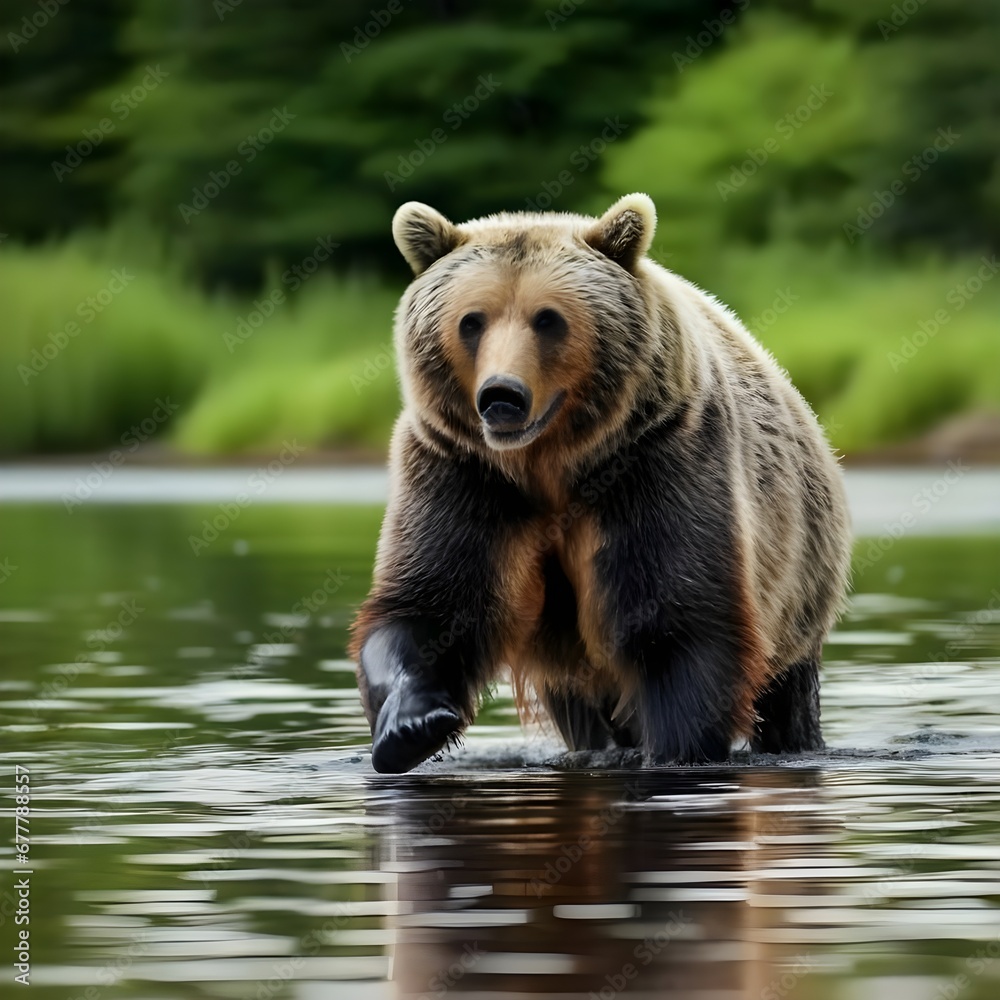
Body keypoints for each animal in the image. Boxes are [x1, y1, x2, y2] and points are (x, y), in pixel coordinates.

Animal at [349, 192, 852, 774]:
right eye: (471, 321)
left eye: (548, 319)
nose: (502, 396)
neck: (550, 466)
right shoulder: (463, 473)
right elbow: (432, 603)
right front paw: (413, 724)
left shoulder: (657, 458)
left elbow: (677, 618)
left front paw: (677, 748)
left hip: (800, 578)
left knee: (786, 693)